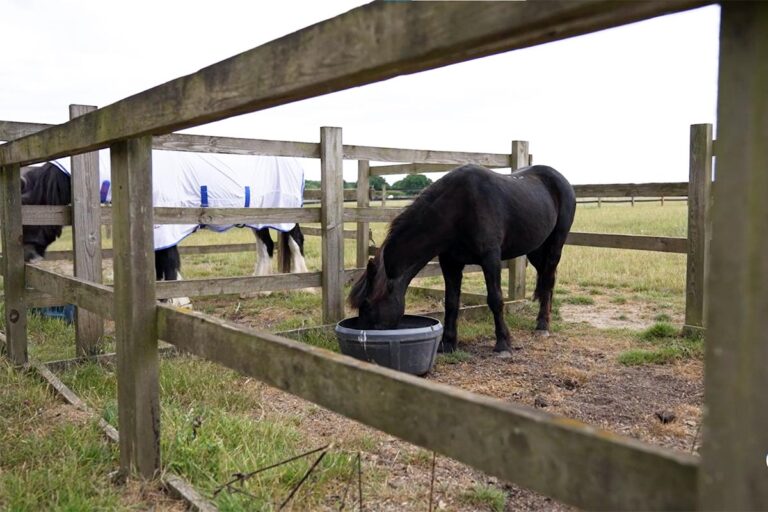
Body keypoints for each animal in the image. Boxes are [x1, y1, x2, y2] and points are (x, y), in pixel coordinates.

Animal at [20, 153, 309, 299]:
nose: (27, 256)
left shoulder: (165, 226)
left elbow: (168, 263)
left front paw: (179, 301)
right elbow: (159, 265)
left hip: (284, 213)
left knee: (295, 240)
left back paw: (304, 285)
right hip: (257, 219)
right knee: (266, 246)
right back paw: (260, 288)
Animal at [349, 164, 576, 357]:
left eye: (367, 304)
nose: (363, 342)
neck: (458, 208)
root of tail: (560, 179)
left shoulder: (490, 259)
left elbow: (495, 299)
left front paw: (503, 344)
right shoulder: (450, 263)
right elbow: (451, 302)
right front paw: (448, 343)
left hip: (555, 245)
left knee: (548, 280)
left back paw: (543, 326)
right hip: (535, 249)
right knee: (546, 279)